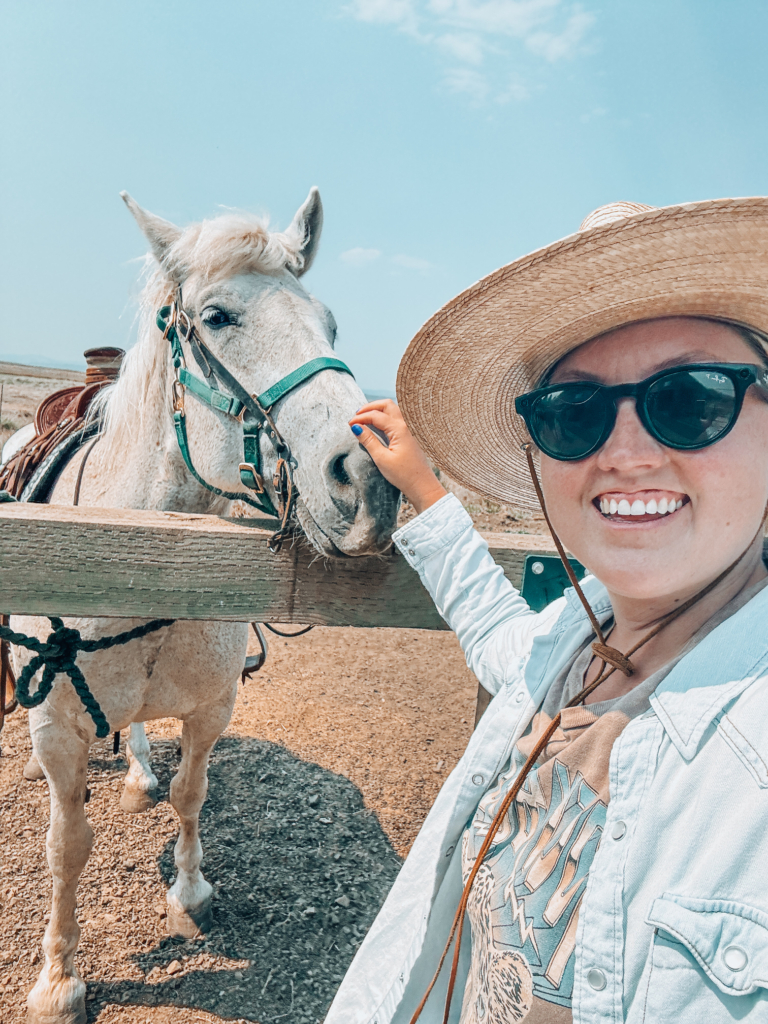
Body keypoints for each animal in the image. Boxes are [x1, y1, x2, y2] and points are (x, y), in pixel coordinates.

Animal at [9, 188, 399, 1024]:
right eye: (218, 317)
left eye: (330, 325)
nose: (372, 479)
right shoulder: (56, 731)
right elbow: (66, 844)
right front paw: (58, 978)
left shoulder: (211, 707)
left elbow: (193, 793)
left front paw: (190, 892)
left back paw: (138, 774)